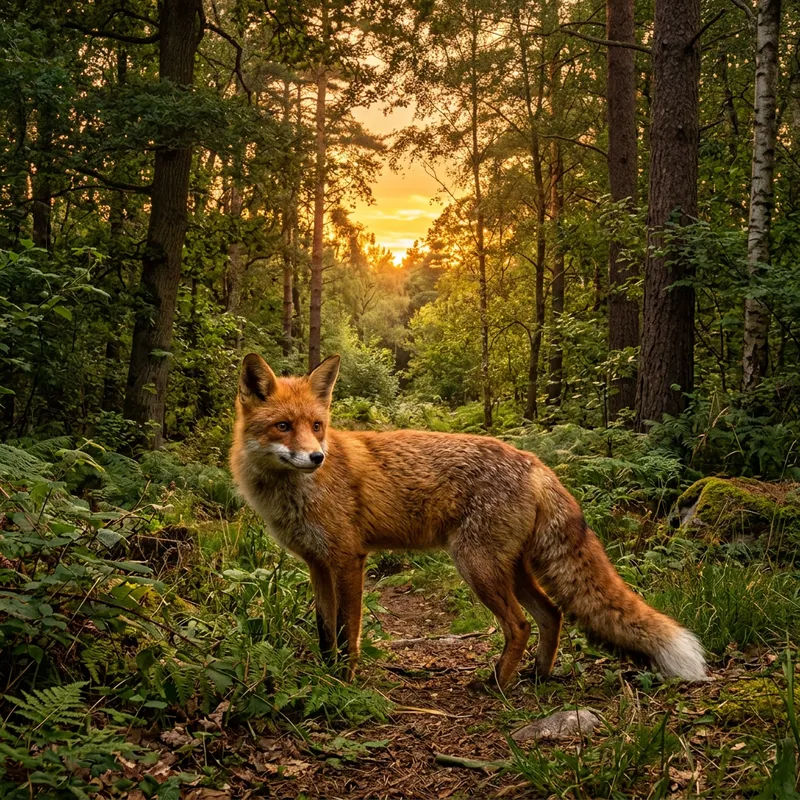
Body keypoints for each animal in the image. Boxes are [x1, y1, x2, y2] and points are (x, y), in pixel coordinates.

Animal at [230, 352, 707, 691]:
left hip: (476, 565)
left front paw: (345, 683)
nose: (317, 457)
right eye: (283, 426)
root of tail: (536, 462)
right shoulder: (317, 564)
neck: (293, 496)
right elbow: (325, 631)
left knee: (520, 624)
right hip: (511, 568)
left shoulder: (349, 559)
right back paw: (537, 676)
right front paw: (325, 675)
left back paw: (495, 684)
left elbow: (349, 633)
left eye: (317, 425)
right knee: (551, 614)